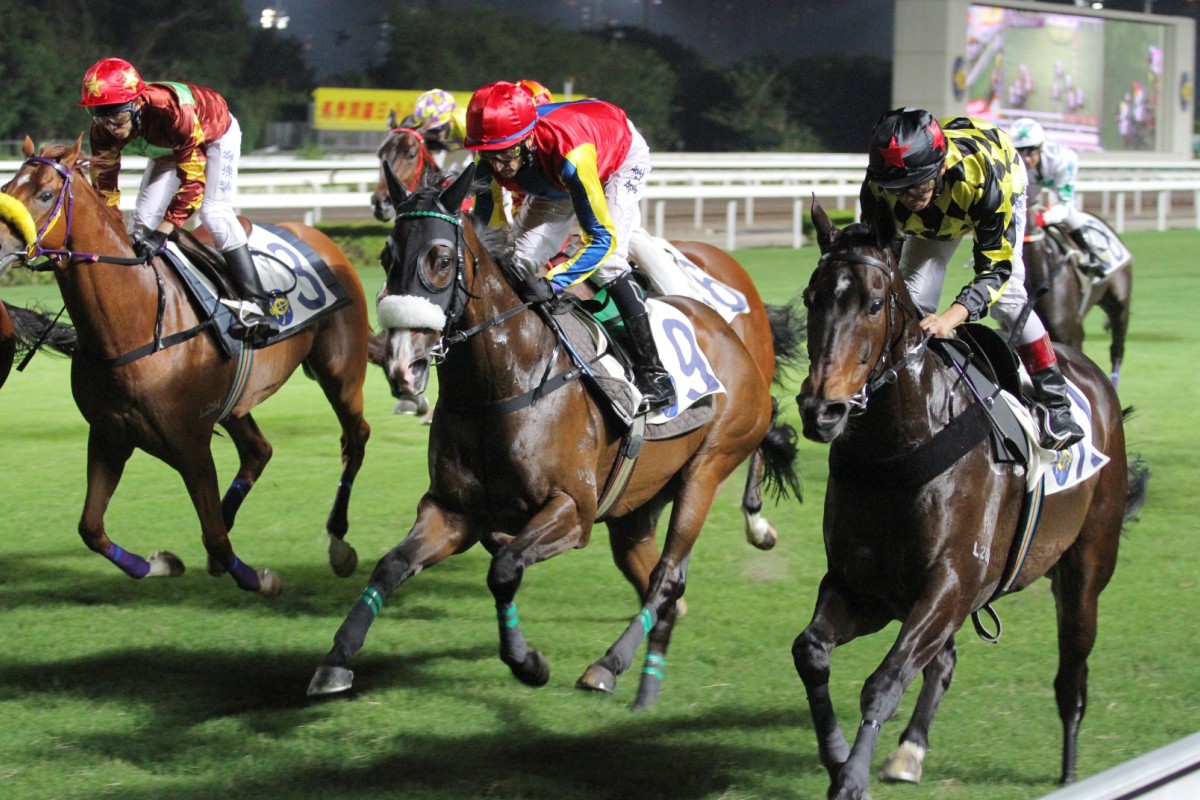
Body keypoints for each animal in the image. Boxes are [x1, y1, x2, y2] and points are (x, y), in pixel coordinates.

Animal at [0, 140, 372, 597]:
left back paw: (338, 541)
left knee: (354, 438)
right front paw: (159, 564)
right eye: (7, 187)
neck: (135, 322)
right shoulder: (109, 434)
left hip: (340, 372)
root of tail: (318, 237)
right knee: (258, 450)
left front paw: (262, 579)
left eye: (45, 195)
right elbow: (91, 528)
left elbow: (215, 537)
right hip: (235, 402)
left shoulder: (192, 446)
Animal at [309, 165, 796, 710]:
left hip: (708, 468)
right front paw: (336, 660)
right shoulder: (452, 511)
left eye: (441, 259)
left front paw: (527, 662)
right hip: (637, 504)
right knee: (653, 575)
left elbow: (504, 567)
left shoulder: (572, 510)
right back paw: (647, 684)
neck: (501, 384)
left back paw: (608, 665)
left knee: (668, 574)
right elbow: (391, 566)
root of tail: (729, 333)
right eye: (386, 257)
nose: (400, 363)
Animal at [792, 201, 1147, 800]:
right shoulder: (866, 587)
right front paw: (838, 755)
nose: (823, 409)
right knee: (945, 661)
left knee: (1072, 676)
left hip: (1086, 569)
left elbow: (883, 681)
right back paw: (909, 750)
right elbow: (811, 652)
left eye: (874, 303)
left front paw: (851, 777)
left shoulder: (950, 583)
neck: (900, 445)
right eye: (810, 298)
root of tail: (1095, 383)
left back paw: (1072, 772)